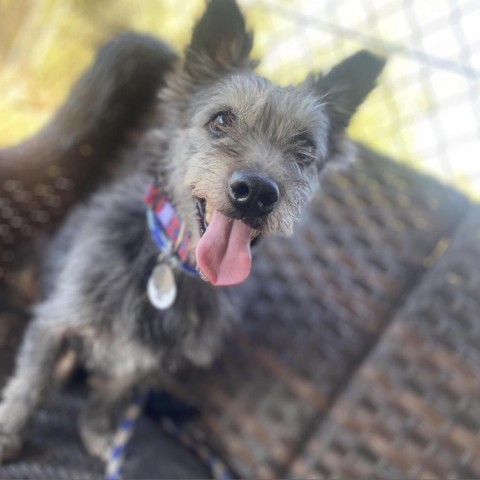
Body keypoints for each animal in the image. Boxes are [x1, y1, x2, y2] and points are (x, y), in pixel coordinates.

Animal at [0, 0, 384, 464]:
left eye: (305, 149)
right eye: (221, 120)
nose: (257, 192)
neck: (172, 262)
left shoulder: (145, 365)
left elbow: (108, 398)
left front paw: (96, 432)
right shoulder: (54, 324)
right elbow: (29, 385)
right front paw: (8, 433)